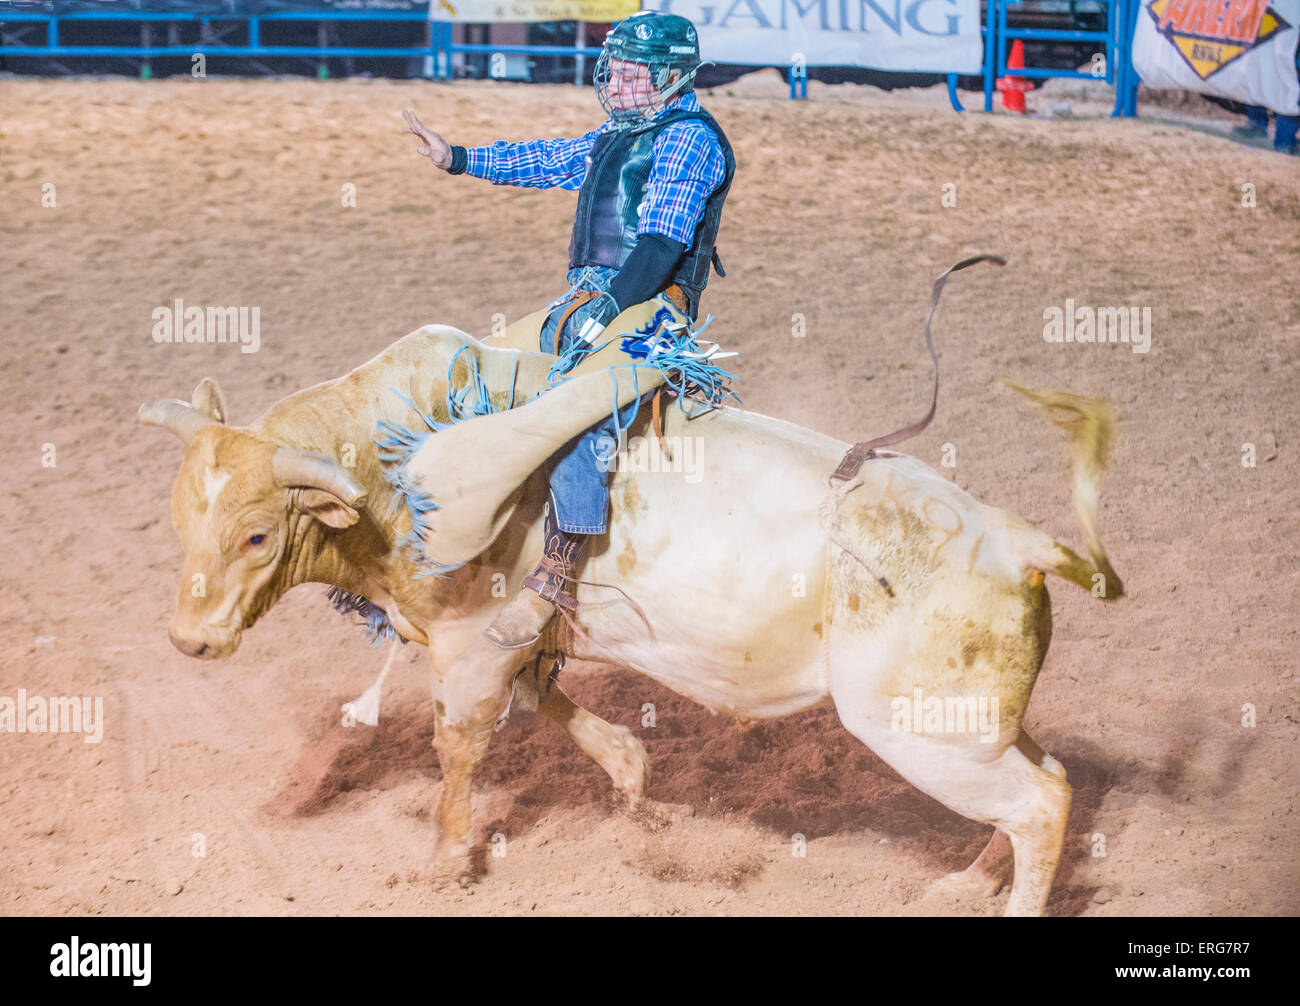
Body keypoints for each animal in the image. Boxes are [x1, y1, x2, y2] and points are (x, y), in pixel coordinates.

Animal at [139, 301, 1123, 917]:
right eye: (184, 519)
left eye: (257, 536)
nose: (188, 641)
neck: (394, 470)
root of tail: (1016, 541)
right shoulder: (520, 637)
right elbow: (546, 698)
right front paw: (631, 774)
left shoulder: (469, 644)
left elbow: (461, 746)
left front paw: (447, 862)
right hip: (968, 723)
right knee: (1046, 781)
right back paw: (969, 883)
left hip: (917, 730)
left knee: (1038, 804)